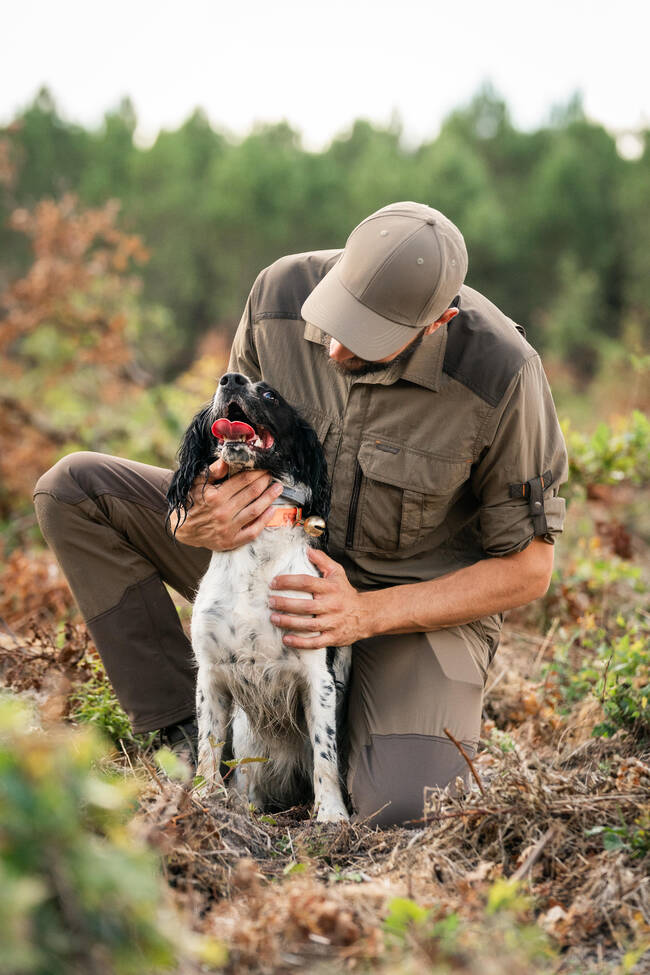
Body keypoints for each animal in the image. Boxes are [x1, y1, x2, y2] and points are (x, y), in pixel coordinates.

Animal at [166, 374, 350, 824]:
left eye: (270, 395)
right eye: (226, 380)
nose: (230, 379)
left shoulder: (317, 677)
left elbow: (325, 756)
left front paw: (331, 816)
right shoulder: (211, 673)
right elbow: (209, 747)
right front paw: (204, 799)